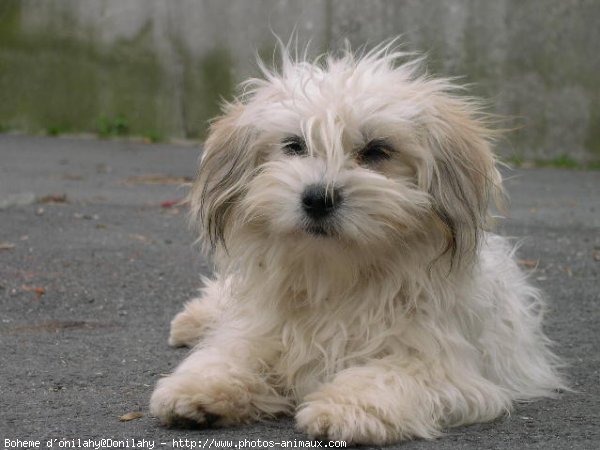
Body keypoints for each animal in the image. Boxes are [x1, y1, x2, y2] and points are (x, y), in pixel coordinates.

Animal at [149, 44, 564, 444]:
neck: (336, 275)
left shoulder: (444, 367)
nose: (317, 198)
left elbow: (385, 376)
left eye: (377, 150)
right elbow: (229, 354)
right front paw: (199, 388)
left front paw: (346, 409)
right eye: (294, 145)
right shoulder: (259, 332)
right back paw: (192, 321)